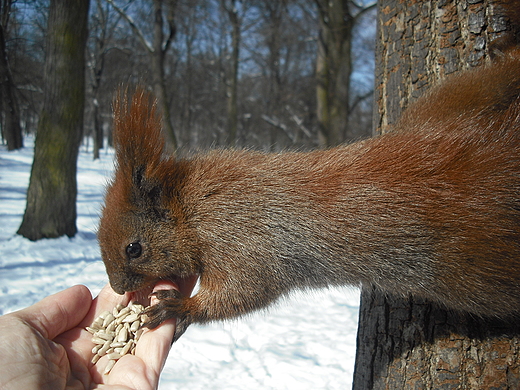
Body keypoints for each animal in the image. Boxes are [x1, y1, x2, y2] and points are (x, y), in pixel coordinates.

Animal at [98, 49, 520, 342]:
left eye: (133, 248)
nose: (118, 288)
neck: (193, 202)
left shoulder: (242, 238)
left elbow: (245, 291)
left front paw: (180, 307)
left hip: (481, 275)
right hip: (439, 110)